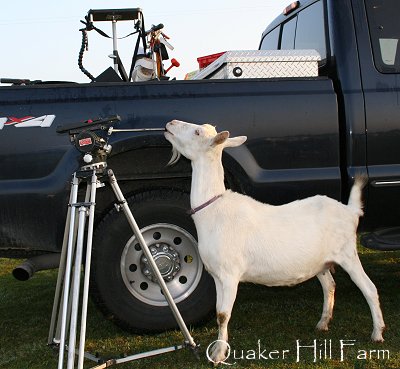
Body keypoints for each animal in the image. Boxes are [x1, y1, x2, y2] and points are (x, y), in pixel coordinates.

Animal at [165, 120, 384, 362]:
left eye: (197, 132)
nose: (170, 123)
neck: (214, 211)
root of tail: (350, 211)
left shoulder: (230, 274)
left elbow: (223, 315)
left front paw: (220, 354)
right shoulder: (216, 275)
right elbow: (218, 312)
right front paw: (216, 349)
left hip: (347, 254)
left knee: (369, 288)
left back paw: (377, 333)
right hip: (321, 263)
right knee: (330, 286)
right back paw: (323, 323)